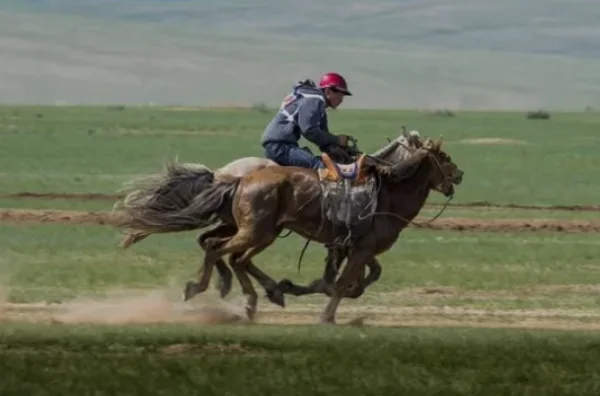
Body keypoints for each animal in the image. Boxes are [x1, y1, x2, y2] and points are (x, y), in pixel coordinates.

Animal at [117, 131, 464, 324]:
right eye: (445, 157)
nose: (459, 176)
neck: (387, 191)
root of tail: (236, 178)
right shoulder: (359, 248)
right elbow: (342, 283)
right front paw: (325, 314)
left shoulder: (356, 247)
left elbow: (358, 280)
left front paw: (296, 288)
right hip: (257, 232)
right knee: (222, 251)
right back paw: (209, 289)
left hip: (254, 231)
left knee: (221, 250)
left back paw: (251, 296)